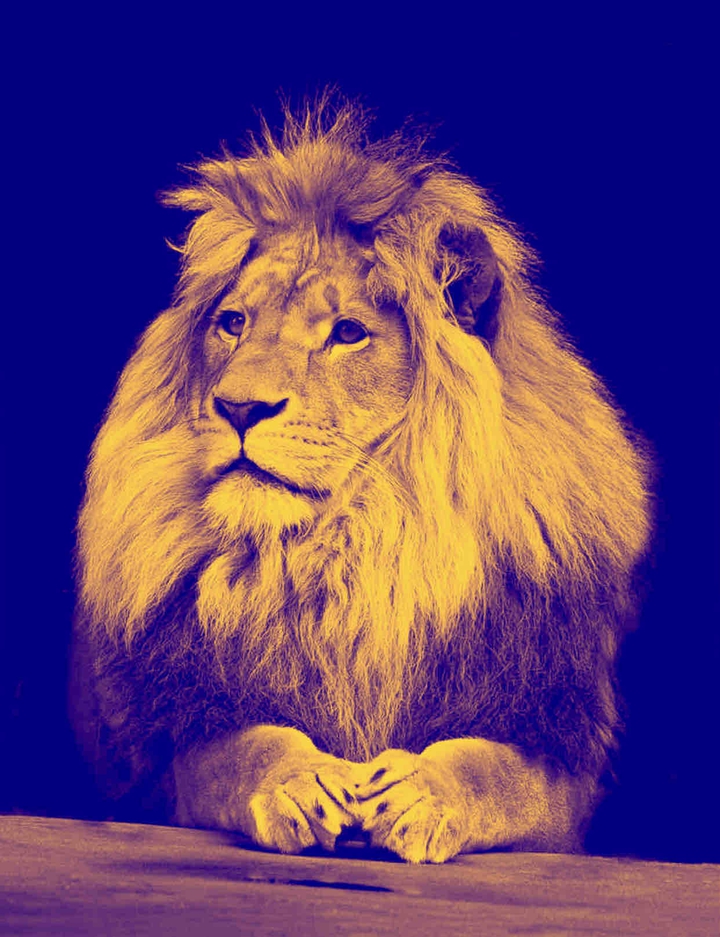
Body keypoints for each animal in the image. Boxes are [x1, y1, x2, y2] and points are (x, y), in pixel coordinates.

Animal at [70, 100, 651, 863]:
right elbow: (241, 749)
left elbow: (497, 772)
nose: (238, 407)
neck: (355, 548)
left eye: (347, 333)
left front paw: (422, 792)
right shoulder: (175, 739)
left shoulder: (558, 745)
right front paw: (300, 782)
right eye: (232, 323)